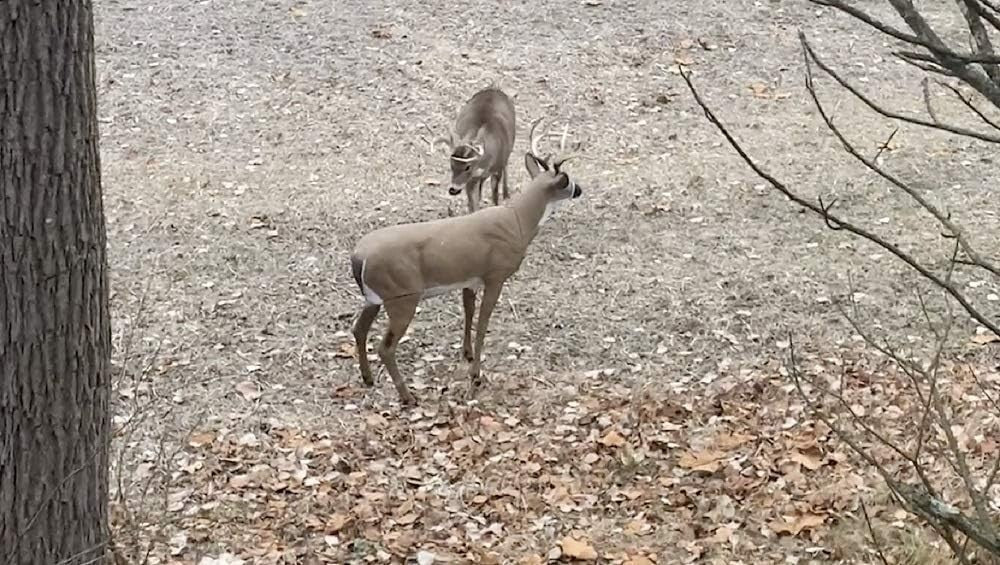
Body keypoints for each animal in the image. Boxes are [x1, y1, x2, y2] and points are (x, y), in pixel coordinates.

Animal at [350, 118, 582, 405]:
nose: (580, 190)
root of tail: (358, 257)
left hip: (374, 298)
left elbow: (468, 312)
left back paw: (368, 378)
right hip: (402, 295)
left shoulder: (470, 277)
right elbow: (483, 324)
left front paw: (467, 354)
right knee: (385, 347)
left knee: (358, 330)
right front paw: (476, 375)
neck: (518, 221)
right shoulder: (496, 274)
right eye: (568, 180)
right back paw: (407, 396)